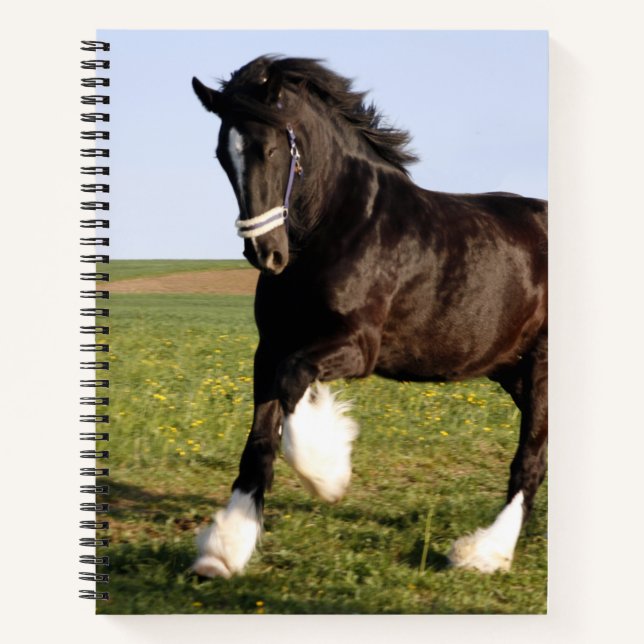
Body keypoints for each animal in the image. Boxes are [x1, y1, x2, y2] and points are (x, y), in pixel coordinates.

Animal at [191, 56, 547, 578]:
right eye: (222, 154)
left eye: (270, 148)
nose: (265, 253)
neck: (338, 225)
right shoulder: (270, 348)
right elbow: (258, 442)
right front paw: (223, 550)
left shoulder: (358, 346)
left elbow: (294, 384)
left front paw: (328, 473)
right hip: (513, 371)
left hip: (540, 367)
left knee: (530, 460)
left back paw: (484, 551)